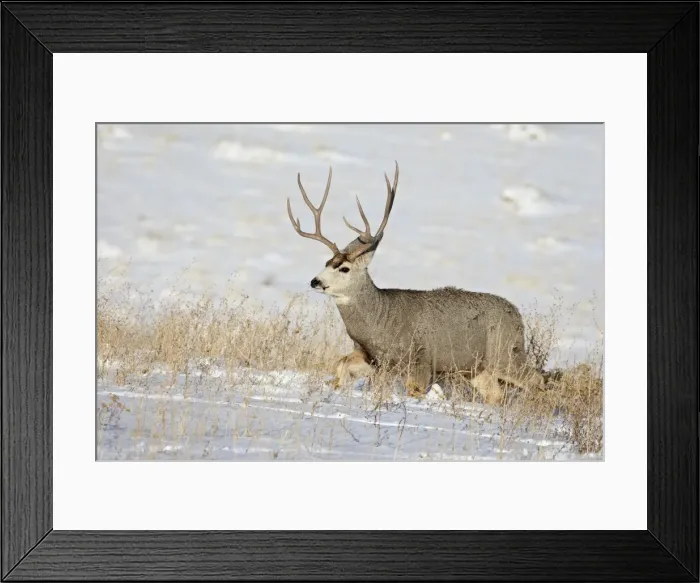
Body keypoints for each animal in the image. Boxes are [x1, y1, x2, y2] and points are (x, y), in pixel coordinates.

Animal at [286, 161, 545, 404]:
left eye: (344, 268)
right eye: (327, 262)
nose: (315, 281)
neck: (381, 322)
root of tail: (516, 314)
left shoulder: (421, 360)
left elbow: (414, 390)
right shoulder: (372, 356)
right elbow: (341, 365)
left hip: (506, 353)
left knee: (536, 379)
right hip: (479, 368)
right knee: (496, 395)